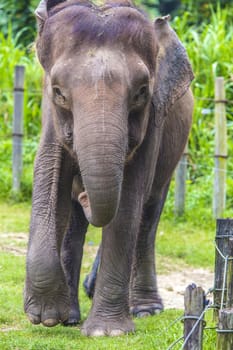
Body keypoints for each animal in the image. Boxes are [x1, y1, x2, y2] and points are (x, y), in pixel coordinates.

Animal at [24, 0, 194, 336]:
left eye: (141, 92)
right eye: (59, 92)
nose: (85, 194)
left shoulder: (153, 120)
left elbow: (128, 199)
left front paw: (108, 332)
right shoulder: (50, 116)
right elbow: (49, 177)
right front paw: (47, 317)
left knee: (148, 215)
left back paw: (145, 309)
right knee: (75, 222)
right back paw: (71, 316)